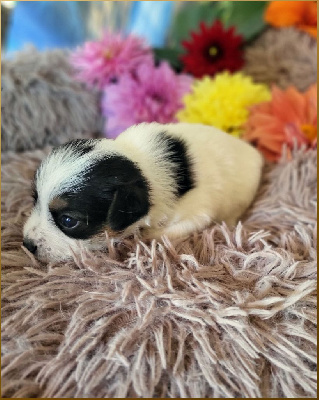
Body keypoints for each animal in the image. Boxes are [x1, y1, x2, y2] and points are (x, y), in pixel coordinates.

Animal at [22, 122, 264, 262]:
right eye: (35, 200)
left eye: (69, 221)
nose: (27, 244)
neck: (142, 169)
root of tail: (254, 153)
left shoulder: (195, 214)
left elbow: (164, 232)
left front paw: (143, 238)